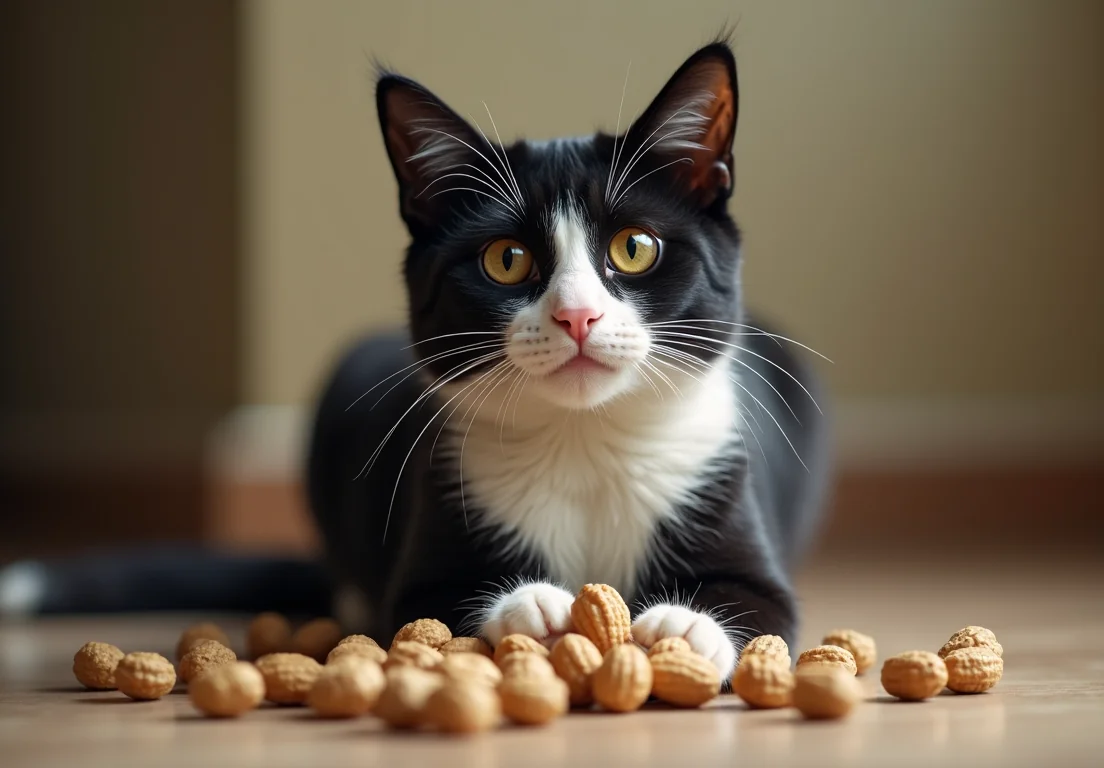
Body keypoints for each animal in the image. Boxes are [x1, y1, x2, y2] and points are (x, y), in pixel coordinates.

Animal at [304, 38, 830, 675]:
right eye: (506, 259)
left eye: (635, 247)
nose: (577, 315)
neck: (585, 441)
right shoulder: (438, 511)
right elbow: (426, 610)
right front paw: (530, 606)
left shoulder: (722, 479)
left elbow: (760, 602)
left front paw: (685, 625)